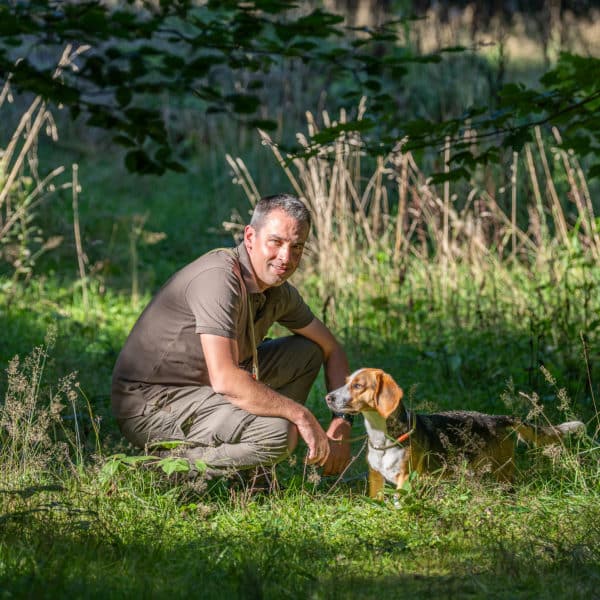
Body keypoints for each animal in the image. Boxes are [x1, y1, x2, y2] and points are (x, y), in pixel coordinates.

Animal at [326, 368, 584, 500]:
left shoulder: (404, 479)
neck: (381, 436)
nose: (328, 397)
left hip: (503, 474)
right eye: (346, 382)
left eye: (358, 386)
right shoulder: (376, 478)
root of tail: (497, 419)